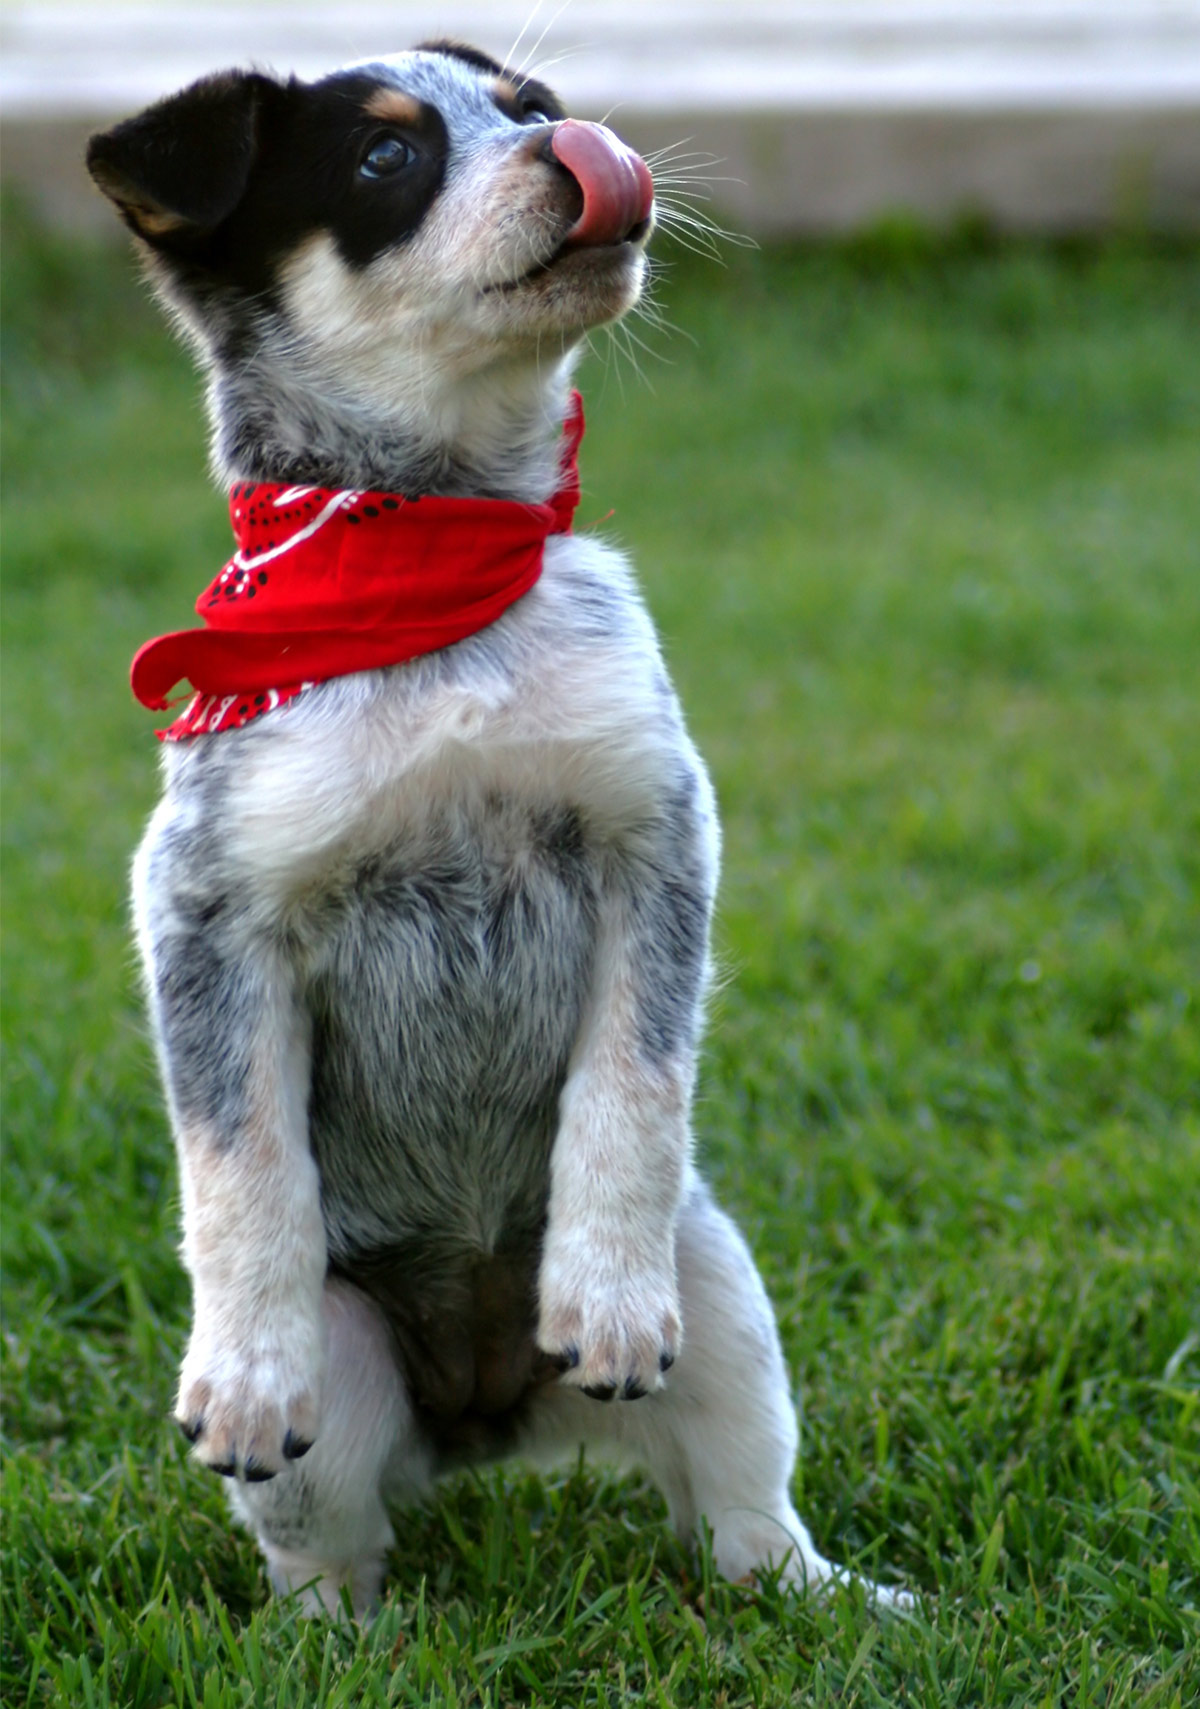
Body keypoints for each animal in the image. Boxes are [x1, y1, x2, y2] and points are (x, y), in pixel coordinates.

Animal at [89, 40, 902, 1613]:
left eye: (531, 110)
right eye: (384, 159)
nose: (577, 151)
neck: (423, 560)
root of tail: (478, 1418)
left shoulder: (656, 834)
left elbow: (632, 1090)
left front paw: (604, 1291)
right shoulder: (206, 905)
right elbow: (239, 1162)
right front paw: (239, 1366)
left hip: (723, 1283)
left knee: (745, 1520)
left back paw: (844, 1597)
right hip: (348, 1388)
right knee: (330, 1557)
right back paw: (338, 1632)